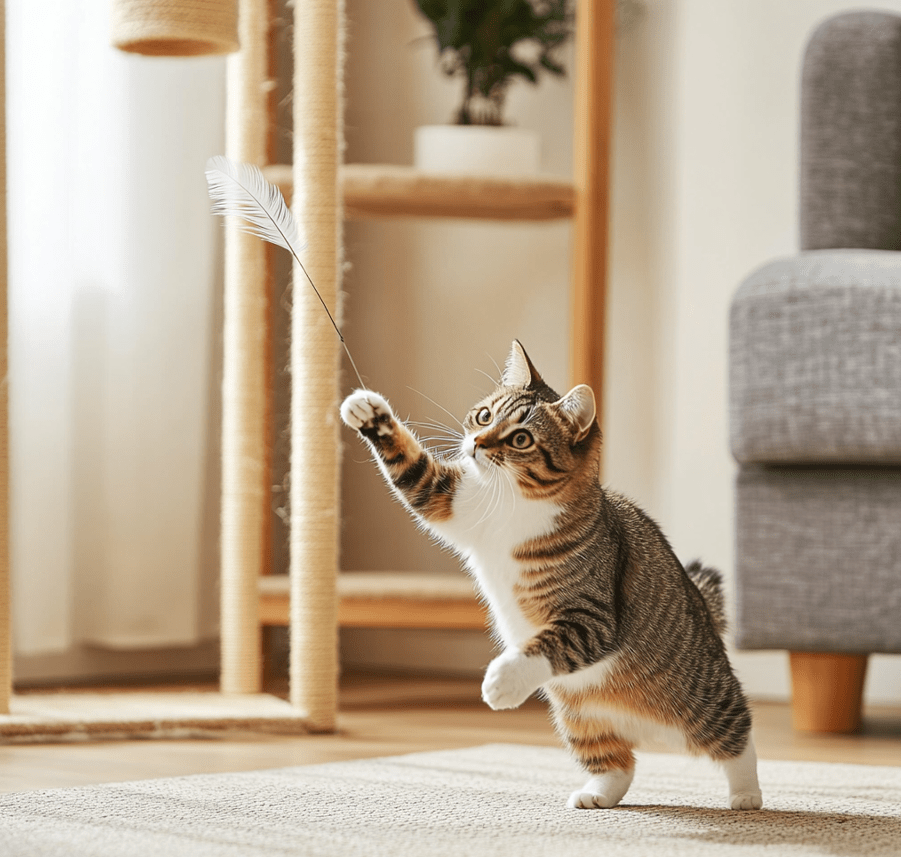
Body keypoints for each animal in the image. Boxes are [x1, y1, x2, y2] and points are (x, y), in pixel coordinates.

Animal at [342, 340, 764, 808]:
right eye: (485, 415)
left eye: (521, 438)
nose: (476, 444)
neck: (512, 501)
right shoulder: (448, 499)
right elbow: (413, 472)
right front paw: (369, 413)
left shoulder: (593, 616)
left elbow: (547, 643)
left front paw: (503, 680)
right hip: (578, 716)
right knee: (618, 764)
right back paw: (599, 793)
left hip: (701, 699)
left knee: (736, 734)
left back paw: (747, 794)